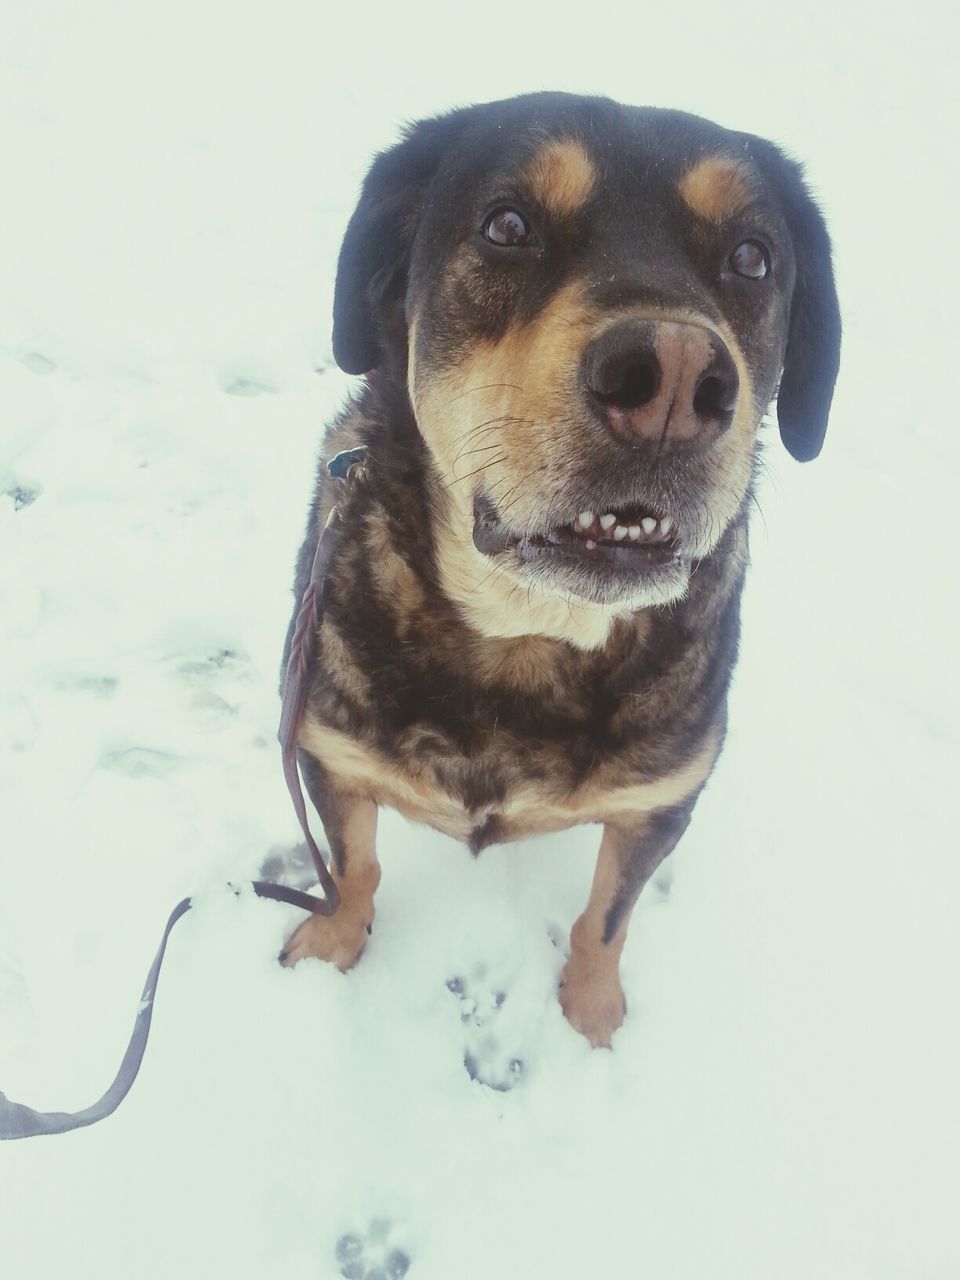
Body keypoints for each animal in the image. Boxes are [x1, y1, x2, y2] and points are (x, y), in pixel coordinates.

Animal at [277, 92, 839, 1049]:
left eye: (752, 257)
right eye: (507, 225)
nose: (673, 377)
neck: (528, 631)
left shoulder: (660, 801)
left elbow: (607, 915)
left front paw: (592, 1007)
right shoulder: (327, 749)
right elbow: (352, 865)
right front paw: (333, 944)